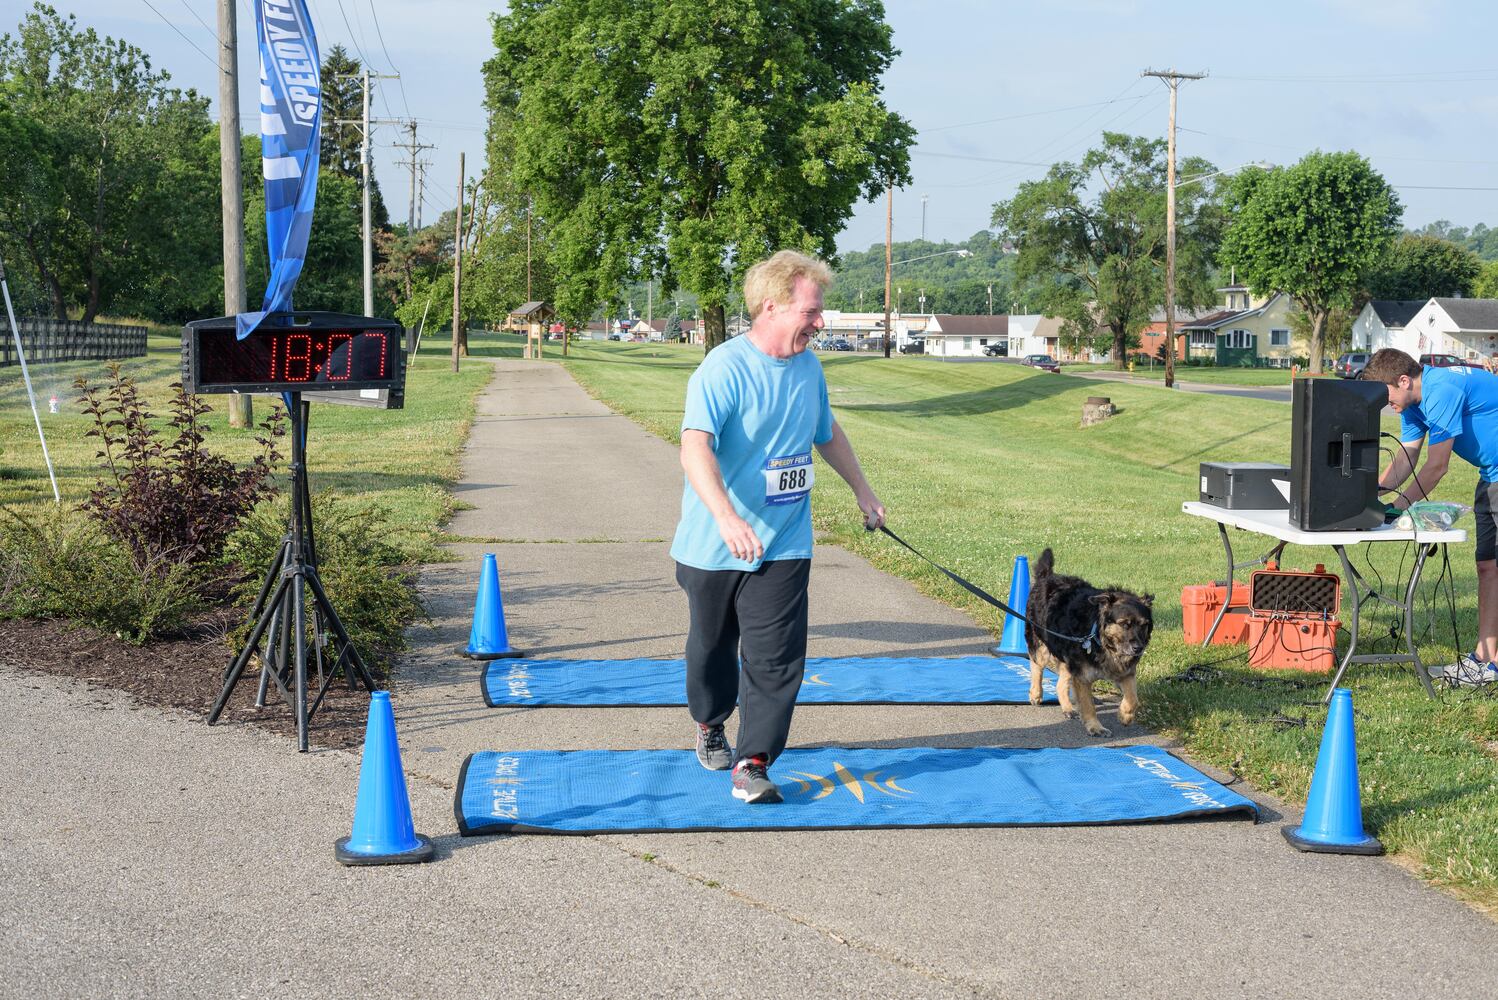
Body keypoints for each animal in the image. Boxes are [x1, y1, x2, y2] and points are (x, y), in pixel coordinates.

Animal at [1024, 547, 1150, 733]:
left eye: (1144, 625)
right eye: (1124, 624)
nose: (1138, 648)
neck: (1098, 636)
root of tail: (1047, 576)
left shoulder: (1125, 673)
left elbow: (1133, 698)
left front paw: (1125, 715)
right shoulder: (1082, 676)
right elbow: (1088, 704)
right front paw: (1095, 727)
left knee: (1060, 683)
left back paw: (1068, 708)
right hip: (1041, 646)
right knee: (1036, 666)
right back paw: (1036, 693)